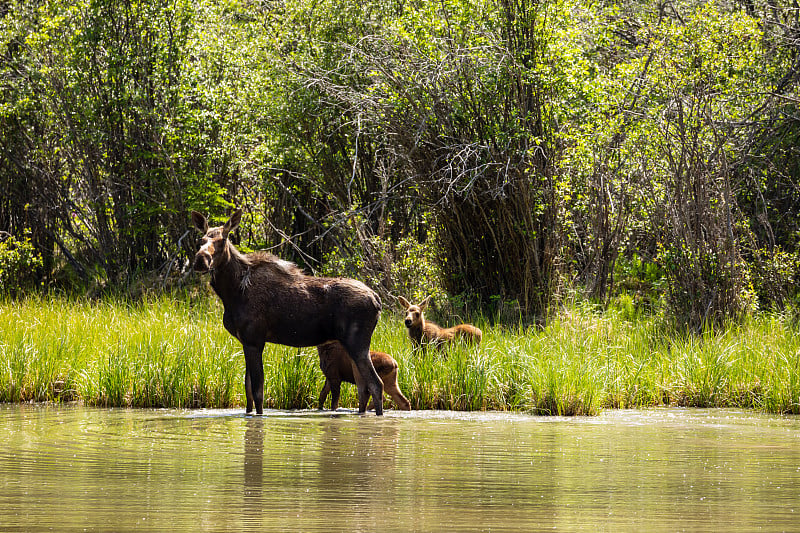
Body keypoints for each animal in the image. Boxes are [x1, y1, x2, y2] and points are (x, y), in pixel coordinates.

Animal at [191, 210, 384, 414]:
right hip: (353, 345)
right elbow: (248, 391)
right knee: (363, 388)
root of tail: (376, 299)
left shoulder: (254, 341)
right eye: (201, 239)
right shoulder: (246, 341)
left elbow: (258, 392)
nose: (200, 260)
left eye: (223, 239)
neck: (232, 293)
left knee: (376, 384)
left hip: (357, 343)